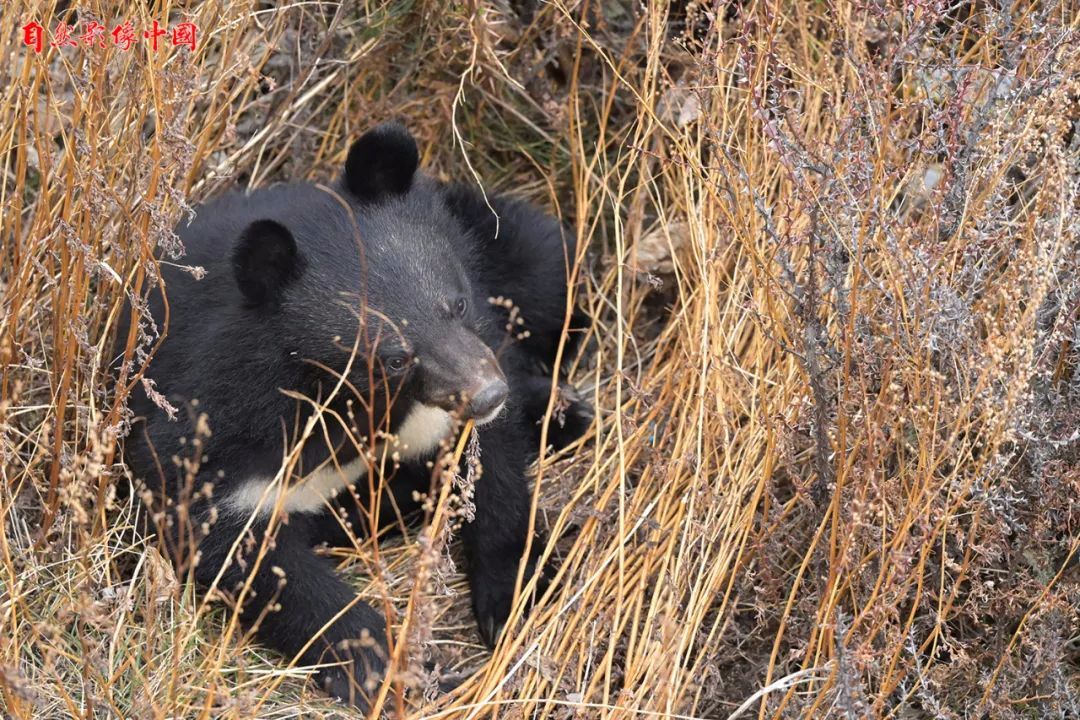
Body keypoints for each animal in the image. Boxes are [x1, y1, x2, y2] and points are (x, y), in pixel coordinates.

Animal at [118, 122, 591, 708]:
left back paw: (565, 411)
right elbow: (243, 553)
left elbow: (492, 475)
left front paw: (516, 599)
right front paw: (381, 662)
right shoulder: (210, 436)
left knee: (551, 264)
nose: (487, 396)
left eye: (455, 304)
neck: (345, 397)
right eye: (393, 357)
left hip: (509, 240)